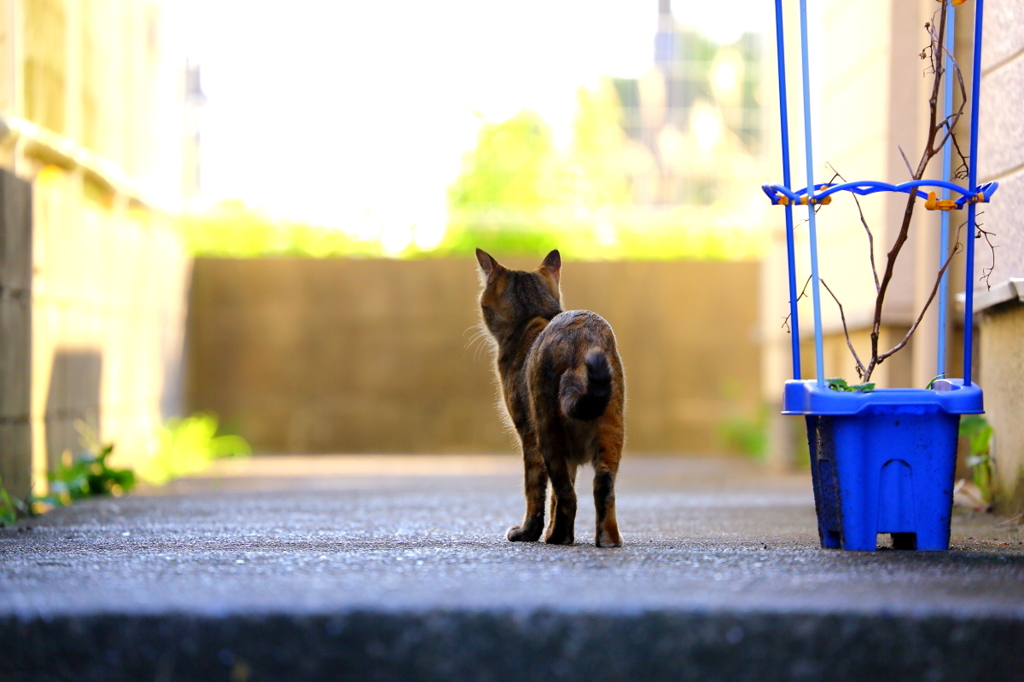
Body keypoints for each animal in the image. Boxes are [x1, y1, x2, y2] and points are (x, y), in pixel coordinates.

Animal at [475, 246, 626, 544]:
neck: (533, 318)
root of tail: (581, 338)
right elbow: (556, 494)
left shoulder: (528, 436)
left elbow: (536, 491)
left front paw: (529, 532)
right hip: (611, 427)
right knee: (602, 486)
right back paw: (608, 539)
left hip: (546, 428)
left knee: (568, 495)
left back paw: (558, 537)